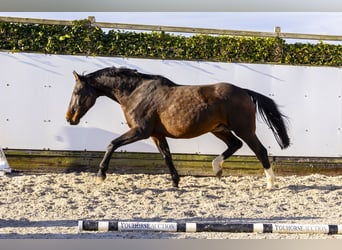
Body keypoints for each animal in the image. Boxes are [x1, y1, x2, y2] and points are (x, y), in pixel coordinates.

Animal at [65, 66, 290, 189]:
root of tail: (244, 92)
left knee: (260, 150)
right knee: (235, 145)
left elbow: (111, 144)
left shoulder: (140, 131)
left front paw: (100, 176)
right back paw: (216, 168)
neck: (136, 93)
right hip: (219, 129)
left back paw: (270, 183)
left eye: (77, 92)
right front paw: (175, 182)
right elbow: (167, 156)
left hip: (244, 130)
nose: (70, 118)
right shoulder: (156, 135)